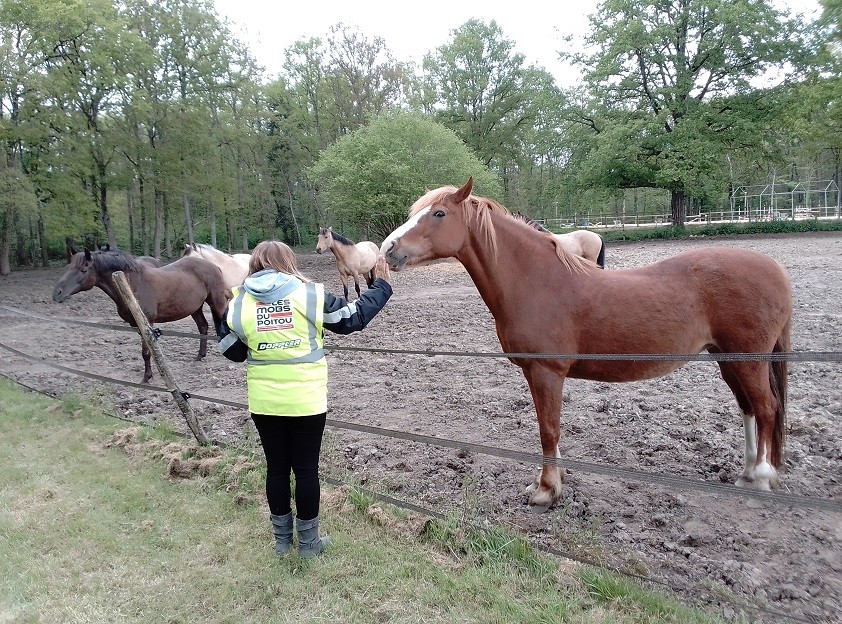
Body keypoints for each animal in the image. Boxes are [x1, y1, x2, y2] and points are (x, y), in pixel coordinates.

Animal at [378, 176, 792, 512]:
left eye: (439, 214)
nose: (388, 248)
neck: (539, 281)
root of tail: (776, 270)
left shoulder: (547, 371)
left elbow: (549, 429)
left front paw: (546, 491)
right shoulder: (536, 374)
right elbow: (548, 427)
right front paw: (552, 481)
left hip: (749, 360)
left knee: (767, 408)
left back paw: (761, 478)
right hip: (728, 359)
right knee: (749, 409)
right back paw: (746, 473)